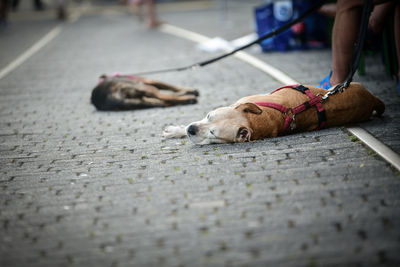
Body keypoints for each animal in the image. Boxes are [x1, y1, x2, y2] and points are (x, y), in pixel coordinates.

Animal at [162, 84, 384, 146]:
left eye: (213, 134)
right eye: (209, 115)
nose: (191, 129)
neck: (254, 120)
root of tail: (373, 98)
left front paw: (178, 130)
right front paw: (176, 130)